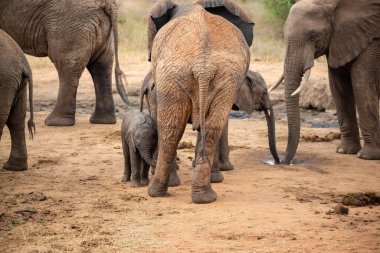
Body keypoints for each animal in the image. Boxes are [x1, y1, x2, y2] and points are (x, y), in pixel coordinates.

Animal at [0, 0, 129, 126]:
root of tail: (108, 3)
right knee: (101, 66)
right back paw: (102, 121)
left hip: (71, 22)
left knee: (67, 65)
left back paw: (56, 122)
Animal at [145, 0, 255, 203]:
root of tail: (203, 67)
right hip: (221, 77)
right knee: (207, 127)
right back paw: (202, 196)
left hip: (179, 74)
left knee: (172, 126)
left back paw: (161, 192)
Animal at [272, 0, 380, 163]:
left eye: (313, 35)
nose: (282, 161)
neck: (333, 4)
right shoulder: (339, 41)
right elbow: (338, 88)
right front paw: (344, 151)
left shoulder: (371, 41)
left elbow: (361, 86)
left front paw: (367, 157)